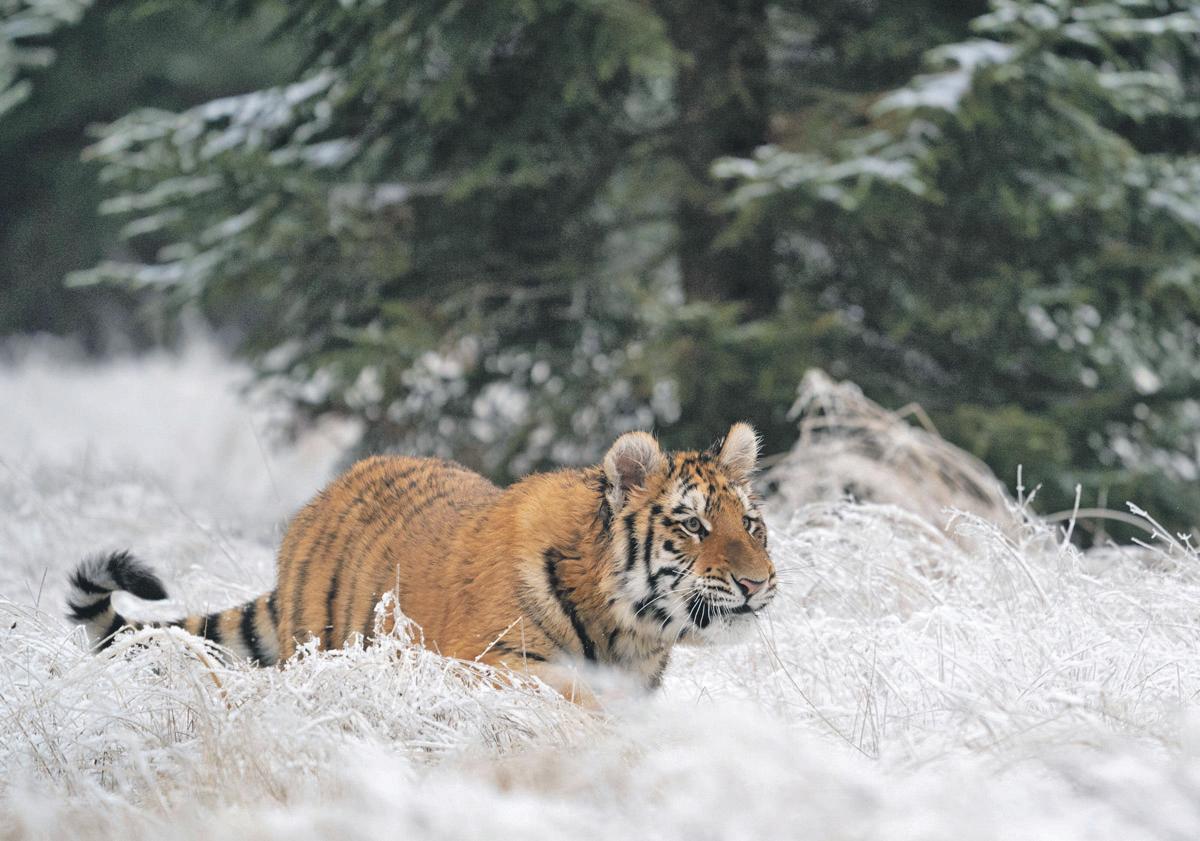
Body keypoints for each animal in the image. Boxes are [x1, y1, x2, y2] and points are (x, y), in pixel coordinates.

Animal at [66, 423, 777, 700]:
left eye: (750, 525)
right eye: (692, 525)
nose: (756, 583)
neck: (629, 629)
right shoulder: (489, 663)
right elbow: (570, 697)